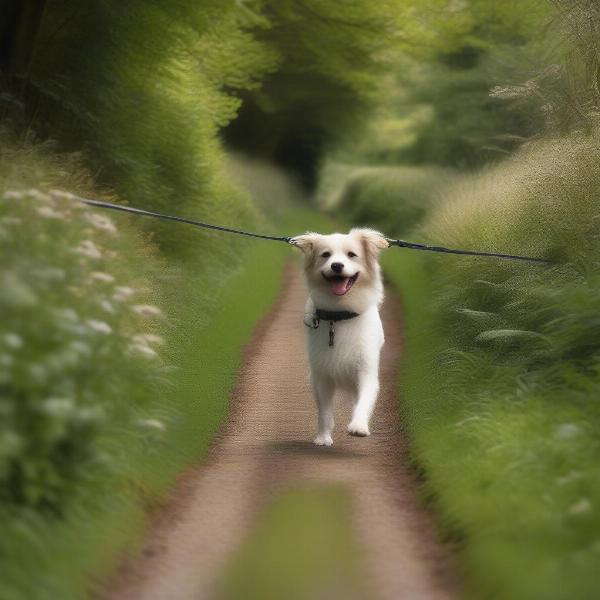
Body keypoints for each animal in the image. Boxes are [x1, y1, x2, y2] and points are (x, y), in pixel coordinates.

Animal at [290, 227, 390, 442]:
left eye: (352, 255)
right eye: (325, 255)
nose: (336, 265)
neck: (340, 314)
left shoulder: (367, 370)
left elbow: (364, 401)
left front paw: (358, 426)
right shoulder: (322, 375)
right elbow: (325, 411)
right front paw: (323, 438)